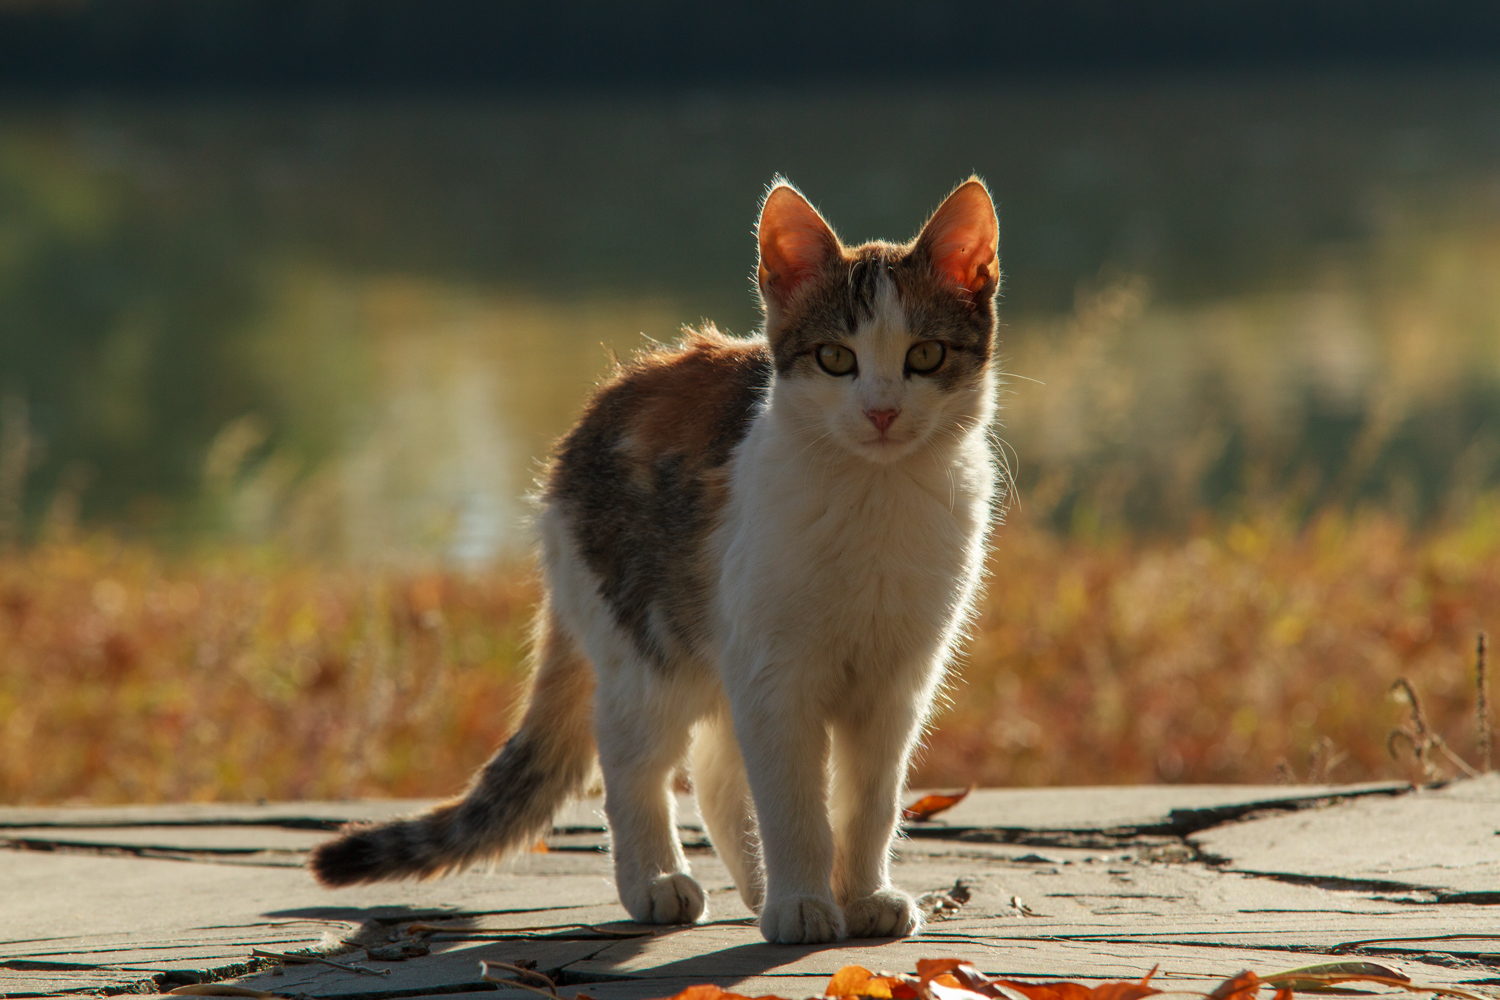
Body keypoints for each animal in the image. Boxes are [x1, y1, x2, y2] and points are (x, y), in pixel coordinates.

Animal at [309, 176, 1002, 941]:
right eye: (835, 358)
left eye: (926, 356)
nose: (882, 412)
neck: (875, 499)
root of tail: (600, 405)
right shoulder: (775, 672)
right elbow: (792, 800)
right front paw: (803, 899)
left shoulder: (895, 682)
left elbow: (868, 802)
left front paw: (862, 895)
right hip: (651, 637)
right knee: (631, 755)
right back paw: (660, 881)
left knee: (717, 768)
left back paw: (756, 885)